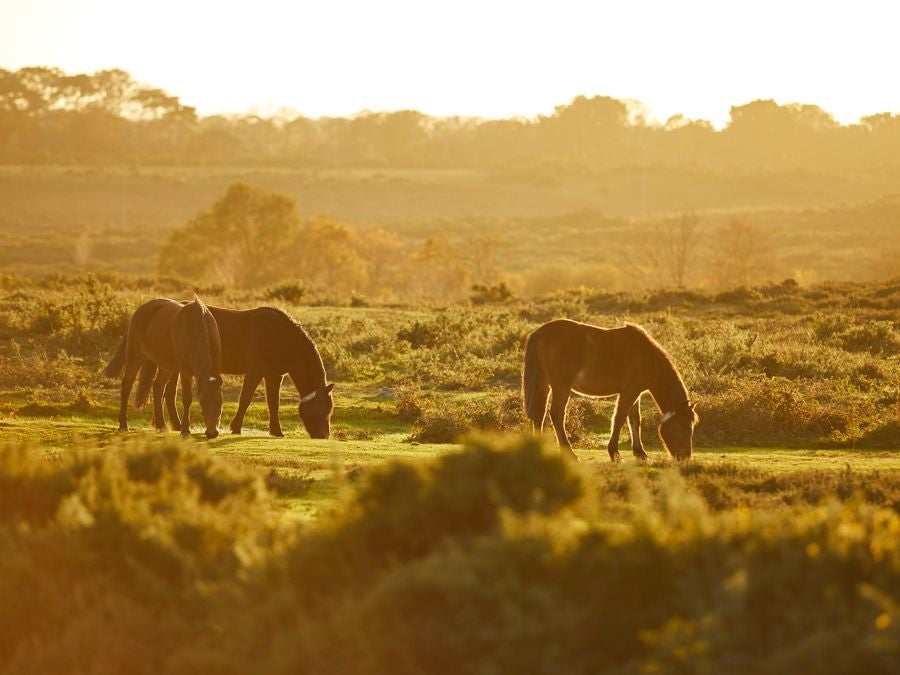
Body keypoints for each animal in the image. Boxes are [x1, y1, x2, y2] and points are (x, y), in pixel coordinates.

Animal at [103, 300, 223, 438]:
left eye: (220, 403)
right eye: (202, 403)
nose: (212, 433)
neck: (196, 327)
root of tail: (140, 310)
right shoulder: (185, 371)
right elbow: (187, 399)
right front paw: (185, 431)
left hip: (165, 366)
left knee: (158, 388)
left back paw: (161, 425)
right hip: (135, 358)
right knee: (127, 386)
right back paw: (123, 425)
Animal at [141, 304, 334, 438]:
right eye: (322, 409)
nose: (324, 435)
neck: (281, 336)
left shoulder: (274, 376)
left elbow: (274, 404)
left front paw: (276, 431)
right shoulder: (255, 372)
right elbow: (245, 399)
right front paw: (236, 427)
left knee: (165, 391)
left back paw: (173, 424)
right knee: (163, 390)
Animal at [520, 320, 696, 462]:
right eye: (685, 427)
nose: (685, 457)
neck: (648, 357)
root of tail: (540, 333)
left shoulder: (636, 393)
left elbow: (635, 420)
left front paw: (640, 453)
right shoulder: (629, 392)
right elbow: (619, 418)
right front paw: (615, 454)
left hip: (545, 385)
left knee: (539, 415)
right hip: (561, 387)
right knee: (556, 415)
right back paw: (571, 454)